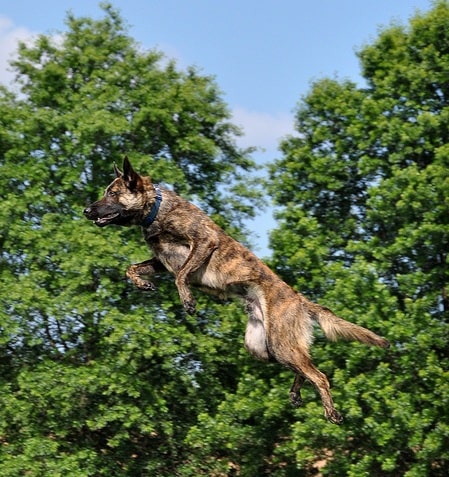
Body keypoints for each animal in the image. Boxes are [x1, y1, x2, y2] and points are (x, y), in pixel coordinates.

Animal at [84, 157, 388, 424]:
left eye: (112, 194)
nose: (86, 211)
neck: (156, 209)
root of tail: (300, 300)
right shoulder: (161, 261)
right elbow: (132, 268)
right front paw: (143, 284)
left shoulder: (203, 242)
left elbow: (181, 276)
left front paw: (188, 301)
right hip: (264, 347)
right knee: (305, 368)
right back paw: (295, 393)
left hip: (280, 343)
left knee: (320, 375)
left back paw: (331, 412)